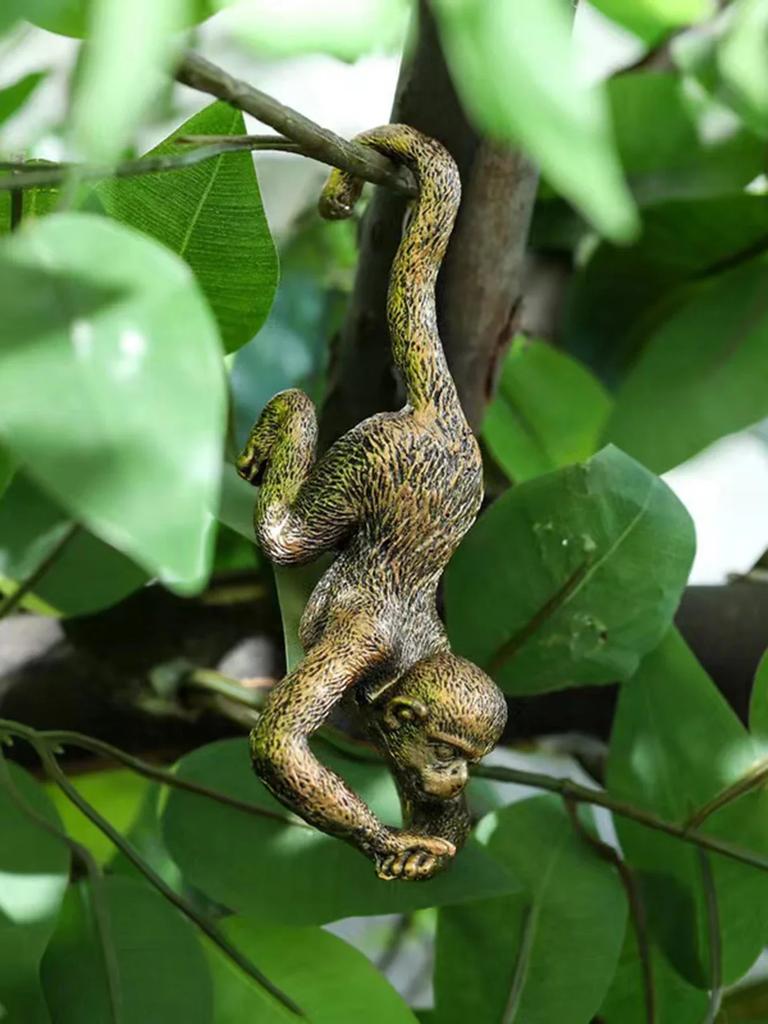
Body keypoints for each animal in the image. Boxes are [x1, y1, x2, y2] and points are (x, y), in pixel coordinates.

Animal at [237, 124, 507, 881]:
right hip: (373, 454)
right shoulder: (361, 646)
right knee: (288, 539)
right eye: (447, 749)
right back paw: (286, 415)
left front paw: (423, 850)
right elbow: (277, 743)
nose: (456, 774)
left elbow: (442, 821)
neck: (401, 677)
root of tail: (442, 416)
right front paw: (384, 840)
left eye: (473, 760)